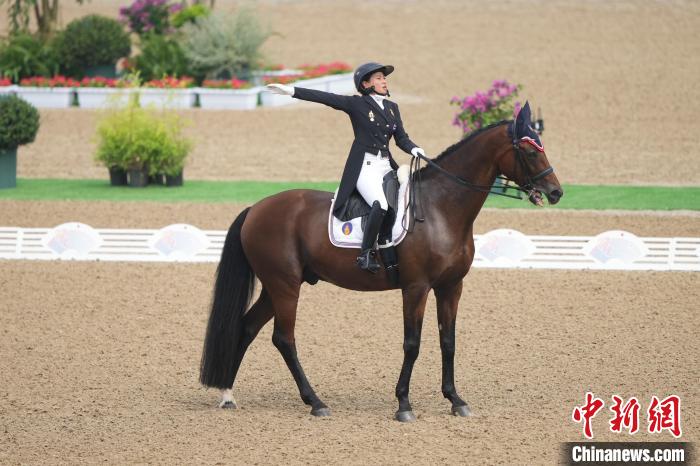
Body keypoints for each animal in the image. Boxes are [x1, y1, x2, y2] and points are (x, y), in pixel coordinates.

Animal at [198, 105, 564, 422]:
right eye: (530, 151)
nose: (556, 192)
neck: (441, 208)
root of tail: (256, 209)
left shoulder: (451, 287)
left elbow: (448, 342)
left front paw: (455, 400)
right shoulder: (415, 288)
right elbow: (412, 344)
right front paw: (403, 404)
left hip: (277, 286)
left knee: (247, 327)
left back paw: (228, 395)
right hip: (284, 286)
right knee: (283, 339)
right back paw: (315, 402)